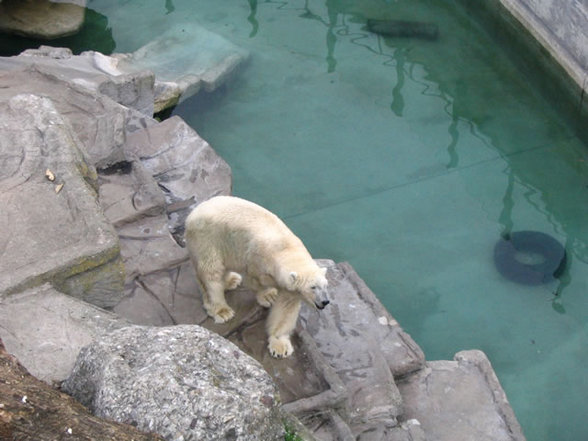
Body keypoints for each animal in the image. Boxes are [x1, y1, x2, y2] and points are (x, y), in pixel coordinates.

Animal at [185, 196, 328, 354]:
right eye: (313, 287)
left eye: (325, 286)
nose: (325, 301)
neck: (285, 248)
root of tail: (191, 215)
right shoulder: (258, 259)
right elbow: (255, 280)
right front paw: (269, 296)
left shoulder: (291, 290)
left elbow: (285, 310)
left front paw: (280, 346)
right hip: (208, 238)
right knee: (211, 272)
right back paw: (222, 310)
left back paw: (232, 280)